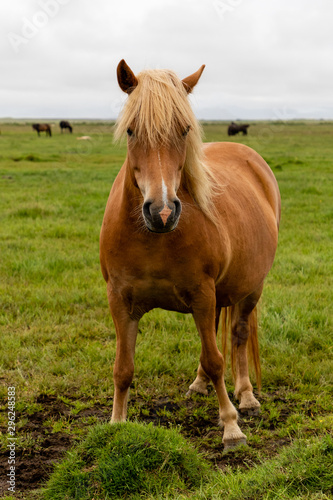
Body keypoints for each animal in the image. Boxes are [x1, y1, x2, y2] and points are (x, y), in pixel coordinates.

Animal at [99, 59, 280, 450]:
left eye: (184, 131)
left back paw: (246, 395)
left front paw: (231, 427)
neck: (153, 237)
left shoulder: (202, 292)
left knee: (239, 335)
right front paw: (116, 423)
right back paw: (198, 385)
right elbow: (123, 368)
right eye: (132, 131)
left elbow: (217, 360)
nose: (162, 211)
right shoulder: (119, 299)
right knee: (213, 332)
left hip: (249, 289)